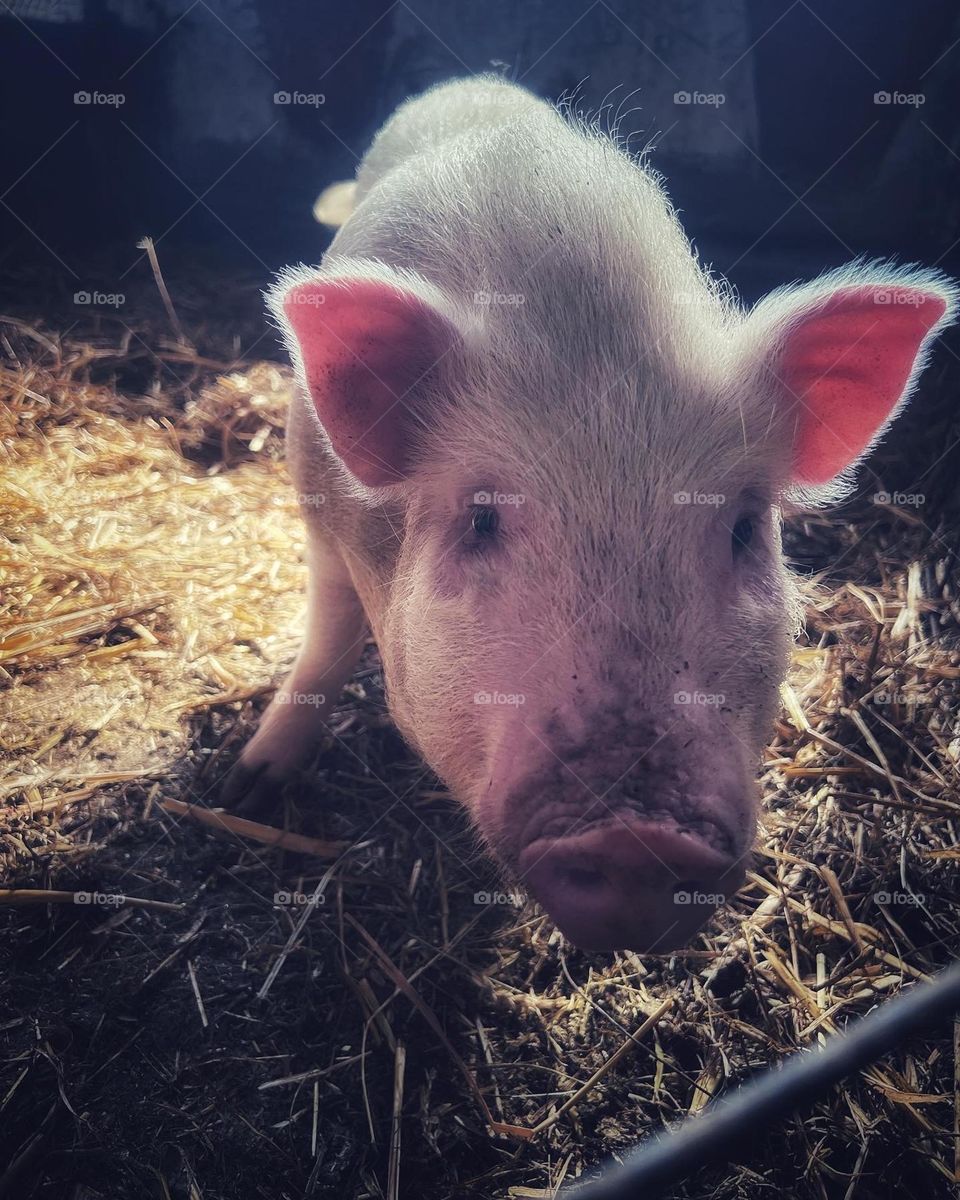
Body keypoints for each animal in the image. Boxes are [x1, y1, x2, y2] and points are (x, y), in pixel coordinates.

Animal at [224, 75, 956, 952]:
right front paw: (246, 789)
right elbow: (329, 635)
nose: (635, 839)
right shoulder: (317, 507)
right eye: (482, 520)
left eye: (744, 527)